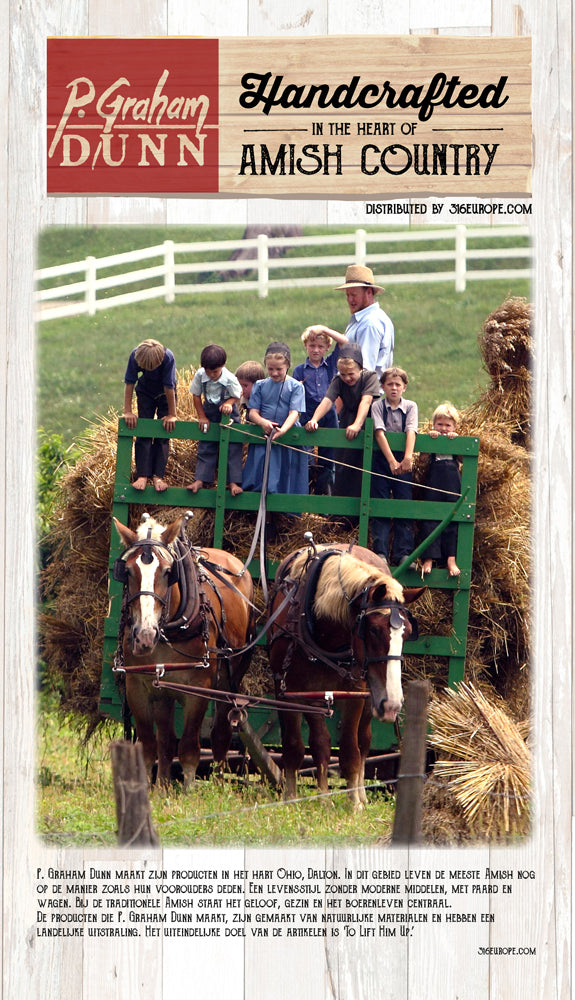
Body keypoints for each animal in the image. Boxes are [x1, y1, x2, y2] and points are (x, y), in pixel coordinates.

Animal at [112, 516, 254, 788]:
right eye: (127, 571)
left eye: (169, 572)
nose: (145, 636)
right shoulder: (138, 686)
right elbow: (150, 745)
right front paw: (148, 788)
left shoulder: (198, 689)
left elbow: (189, 746)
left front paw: (189, 789)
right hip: (163, 691)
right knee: (167, 739)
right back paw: (163, 785)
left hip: (229, 679)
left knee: (221, 732)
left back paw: (219, 783)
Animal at [268, 544, 426, 808]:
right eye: (373, 630)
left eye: (408, 632)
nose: (393, 704)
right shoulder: (291, 692)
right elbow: (300, 746)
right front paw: (294, 798)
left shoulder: (355, 694)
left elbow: (351, 750)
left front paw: (354, 803)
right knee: (321, 742)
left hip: (370, 697)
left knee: (363, 741)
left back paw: (359, 792)